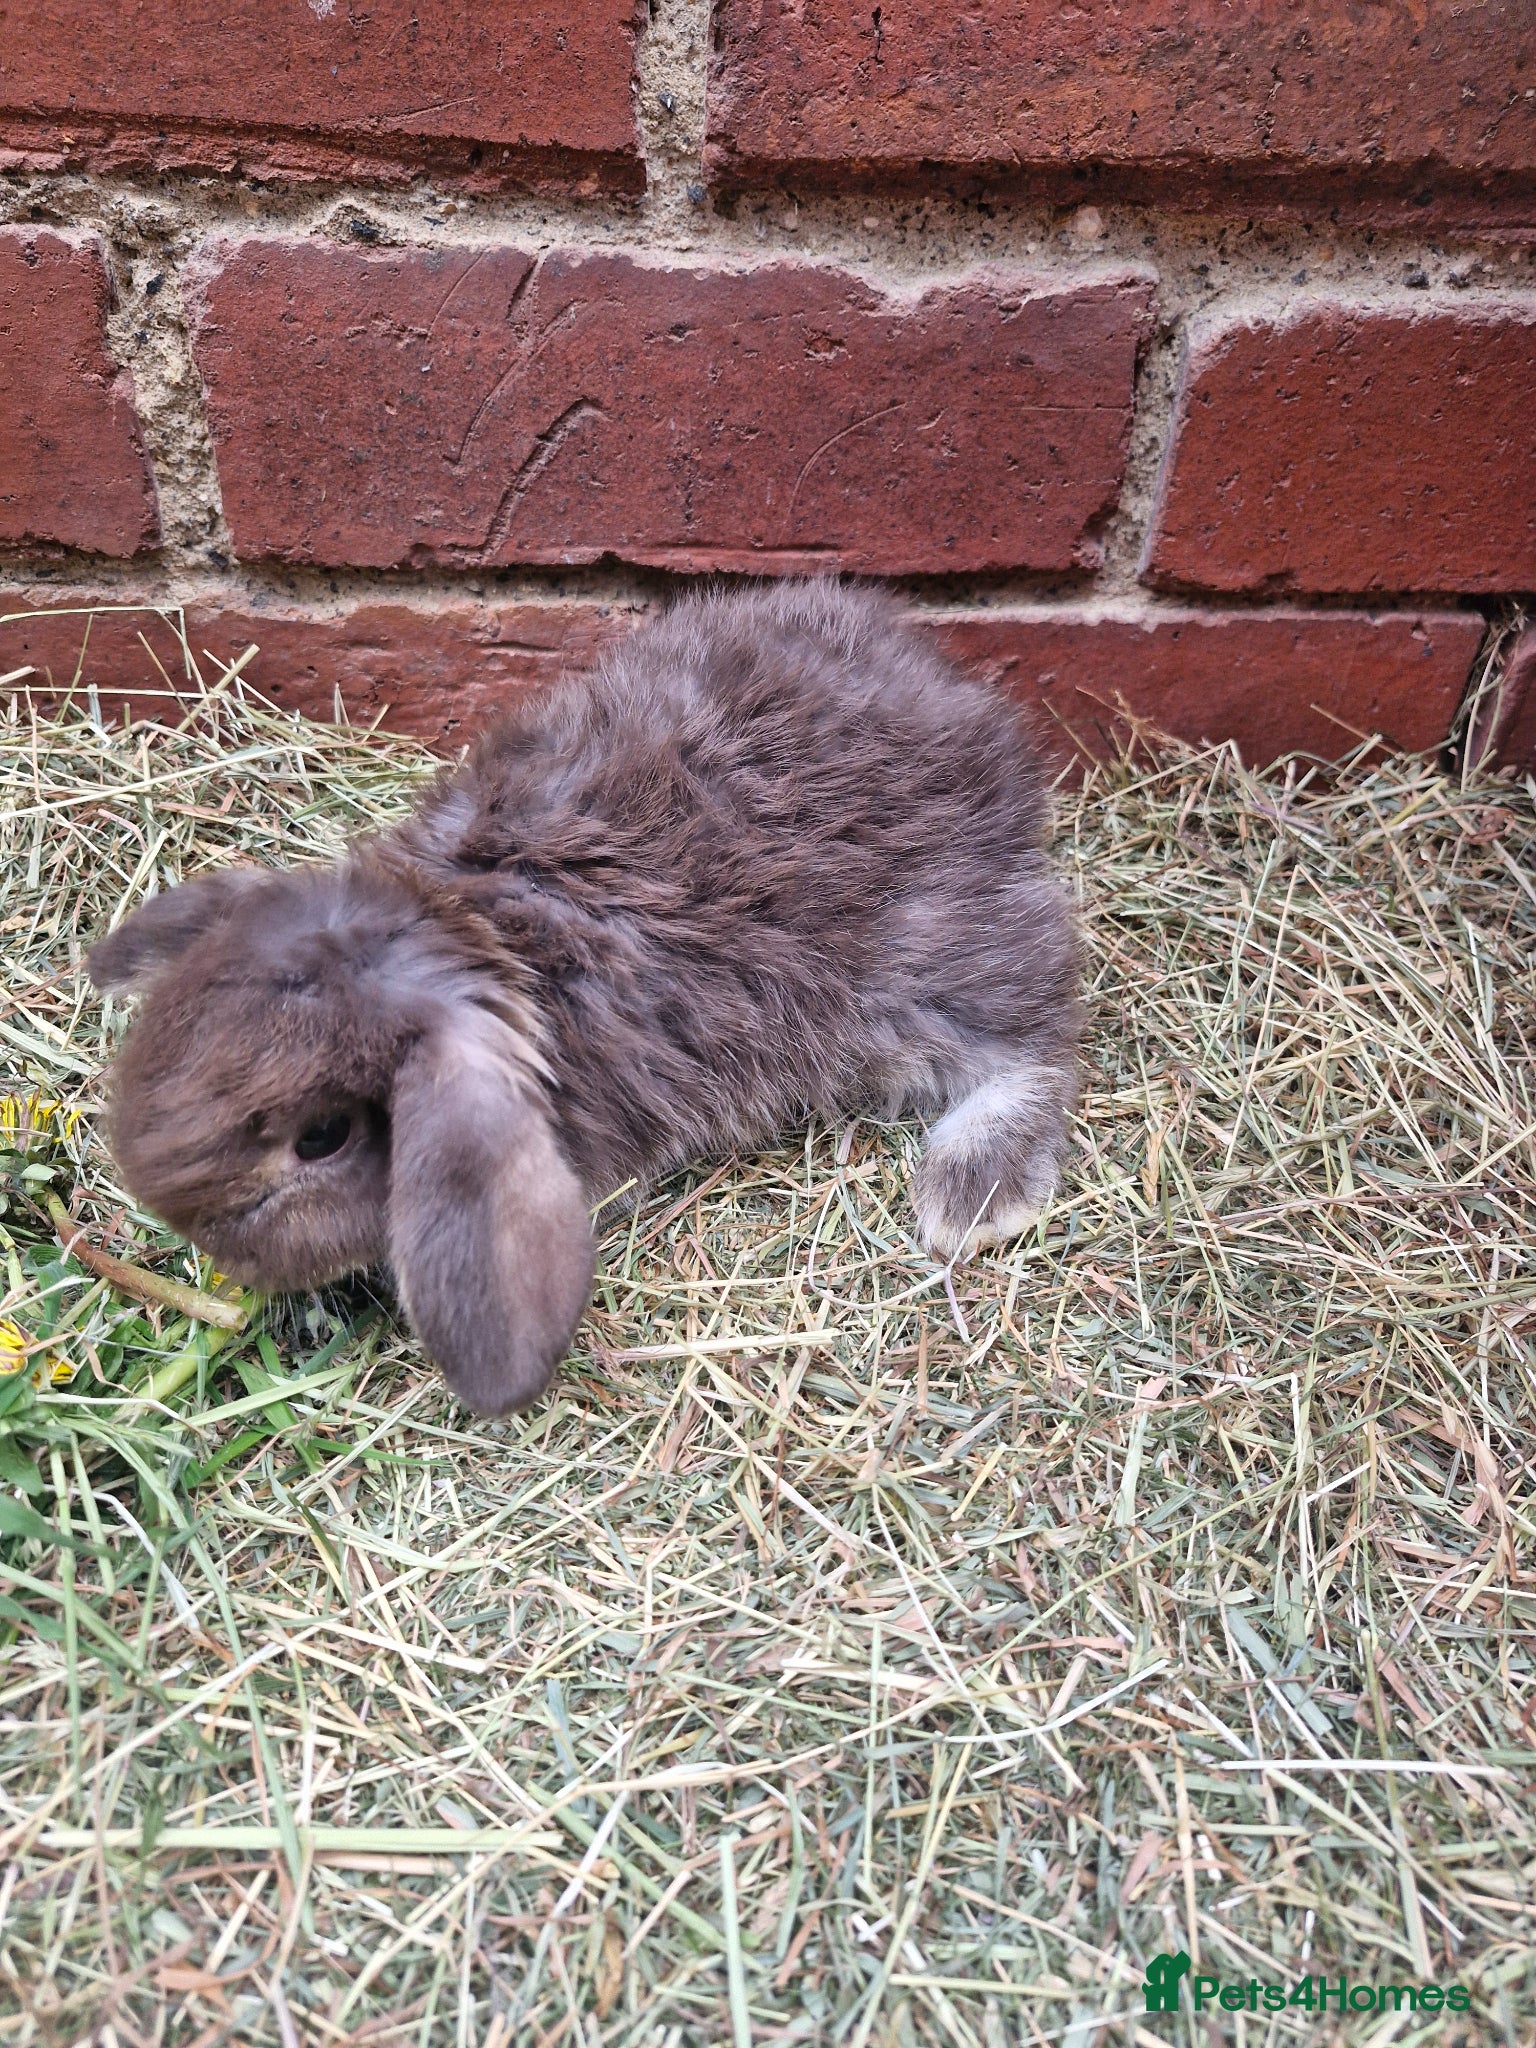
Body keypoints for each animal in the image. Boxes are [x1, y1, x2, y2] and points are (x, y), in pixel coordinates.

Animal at [88, 582, 1081, 1416]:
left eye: (321, 1139)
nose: (195, 1233)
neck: (475, 928)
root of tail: (975, 723)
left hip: (919, 959)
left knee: (1039, 1029)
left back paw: (969, 1196)